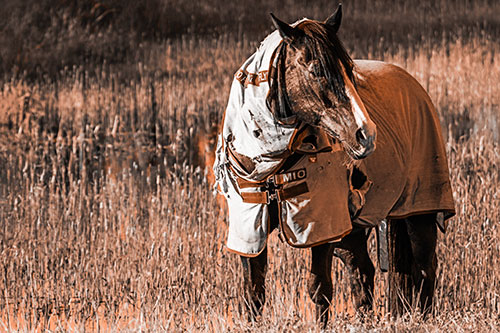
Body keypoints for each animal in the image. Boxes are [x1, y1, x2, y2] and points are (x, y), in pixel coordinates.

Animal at [213, 4, 456, 326]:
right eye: (317, 69)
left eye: (350, 69)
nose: (366, 134)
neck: (273, 161)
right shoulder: (251, 227)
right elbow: (253, 293)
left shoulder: (322, 226)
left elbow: (319, 288)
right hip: (353, 230)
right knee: (362, 271)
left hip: (419, 212)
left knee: (426, 267)